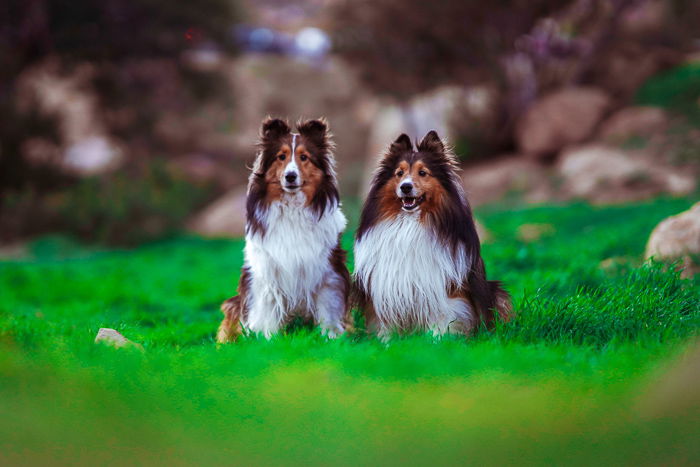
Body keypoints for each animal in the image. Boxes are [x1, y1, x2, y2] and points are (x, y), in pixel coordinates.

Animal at [216, 117, 350, 344]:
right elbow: (268, 308)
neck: (292, 207)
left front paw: (330, 337)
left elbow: (328, 307)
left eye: (304, 157)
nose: (290, 176)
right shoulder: (267, 270)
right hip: (235, 302)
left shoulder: (327, 271)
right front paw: (267, 339)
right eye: (281, 157)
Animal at [356, 130, 508, 338]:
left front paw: (437, 340)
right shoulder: (386, 286)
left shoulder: (445, 288)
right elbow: (384, 322)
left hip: (498, 293)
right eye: (399, 173)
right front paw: (385, 341)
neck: (410, 222)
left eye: (423, 172)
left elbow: (444, 318)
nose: (405, 187)